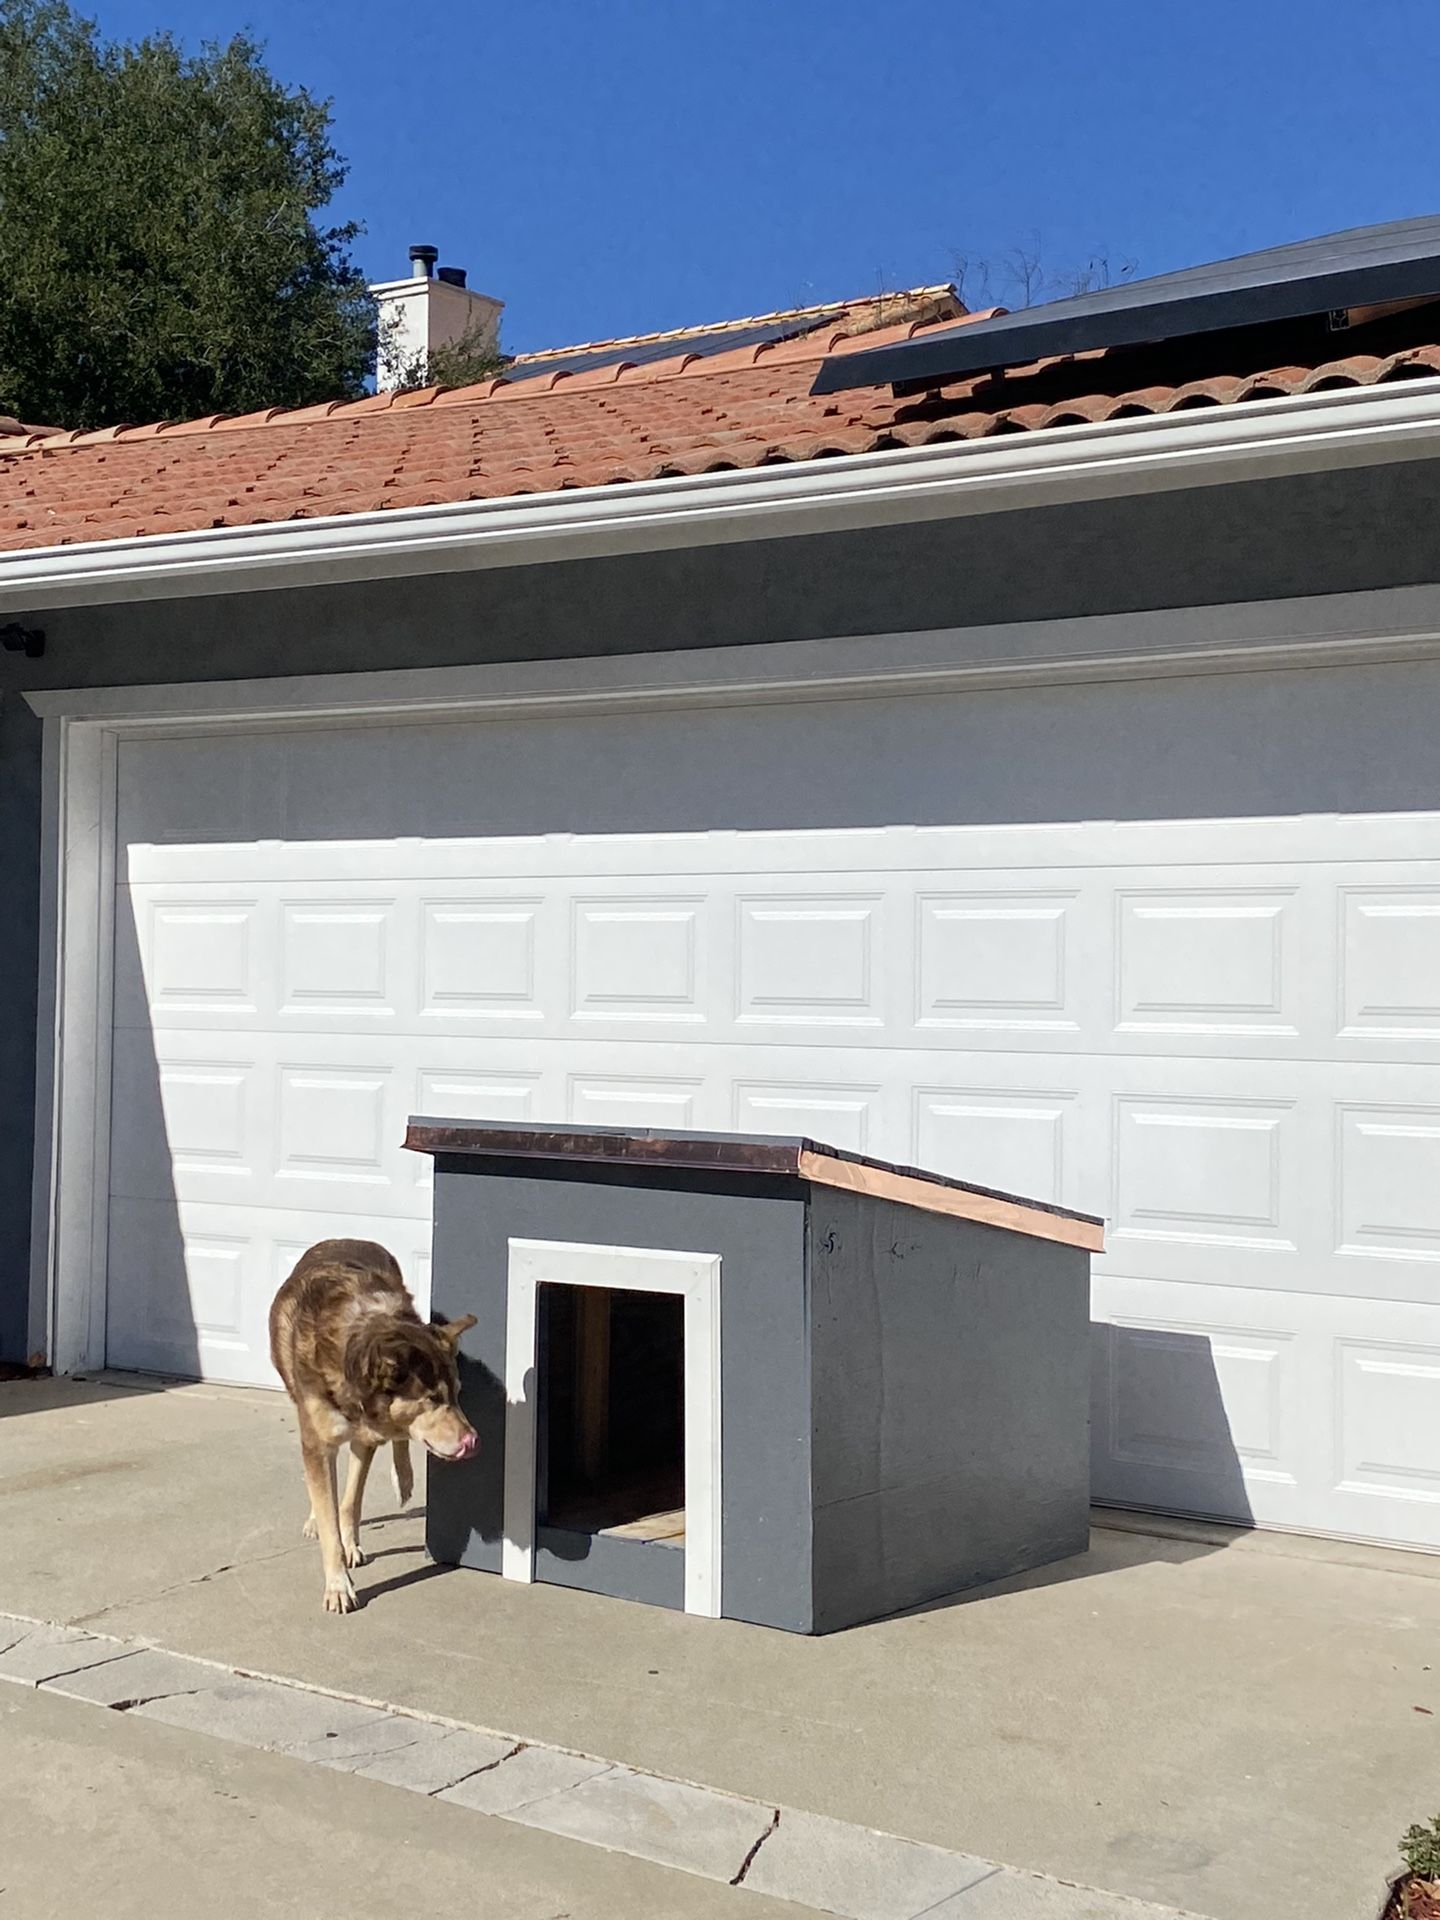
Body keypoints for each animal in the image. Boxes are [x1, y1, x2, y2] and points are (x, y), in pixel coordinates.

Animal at [264, 1236, 480, 1612]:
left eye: (456, 1393)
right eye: (432, 1399)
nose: (473, 1440)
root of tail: (345, 1238)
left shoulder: (366, 1437)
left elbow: (350, 1501)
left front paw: (350, 1544)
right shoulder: (319, 1441)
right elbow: (329, 1514)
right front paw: (338, 1584)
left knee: (395, 1445)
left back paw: (403, 1478)